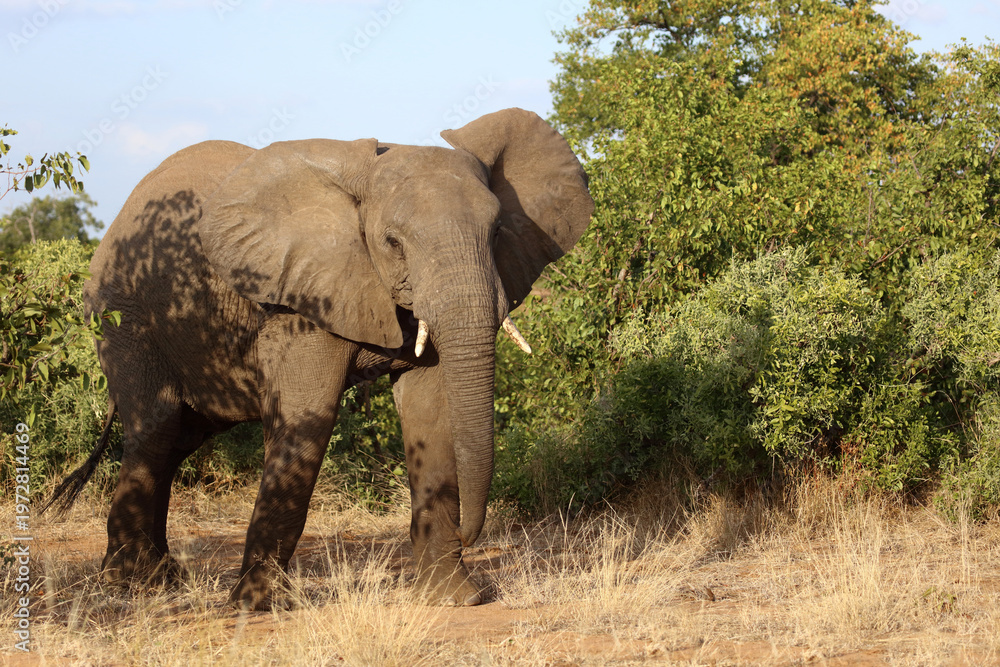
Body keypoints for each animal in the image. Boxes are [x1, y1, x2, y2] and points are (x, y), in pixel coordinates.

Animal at [46, 108, 593, 610]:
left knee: (179, 438)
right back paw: (131, 583)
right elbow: (309, 417)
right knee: (156, 429)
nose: (471, 535)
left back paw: (160, 577)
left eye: (498, 232)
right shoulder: (301, 299)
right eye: (393, 242)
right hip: (122, 317)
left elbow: (431, 413)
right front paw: (256, 606)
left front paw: (456, 599)